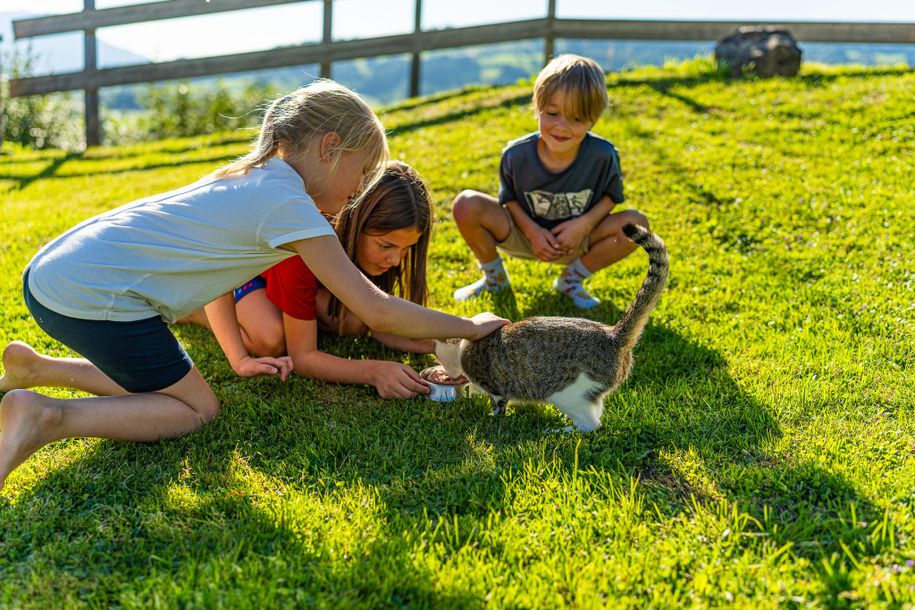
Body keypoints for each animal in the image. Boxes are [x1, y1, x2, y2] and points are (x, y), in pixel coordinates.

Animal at [432, 221, 668, 430]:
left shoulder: (494, 386)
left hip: (566, 393)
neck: (465, 346)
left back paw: (562, 430)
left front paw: (493, 418)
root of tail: (612, 335)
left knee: (591, 425)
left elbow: (498, 405)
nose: (448, 373)